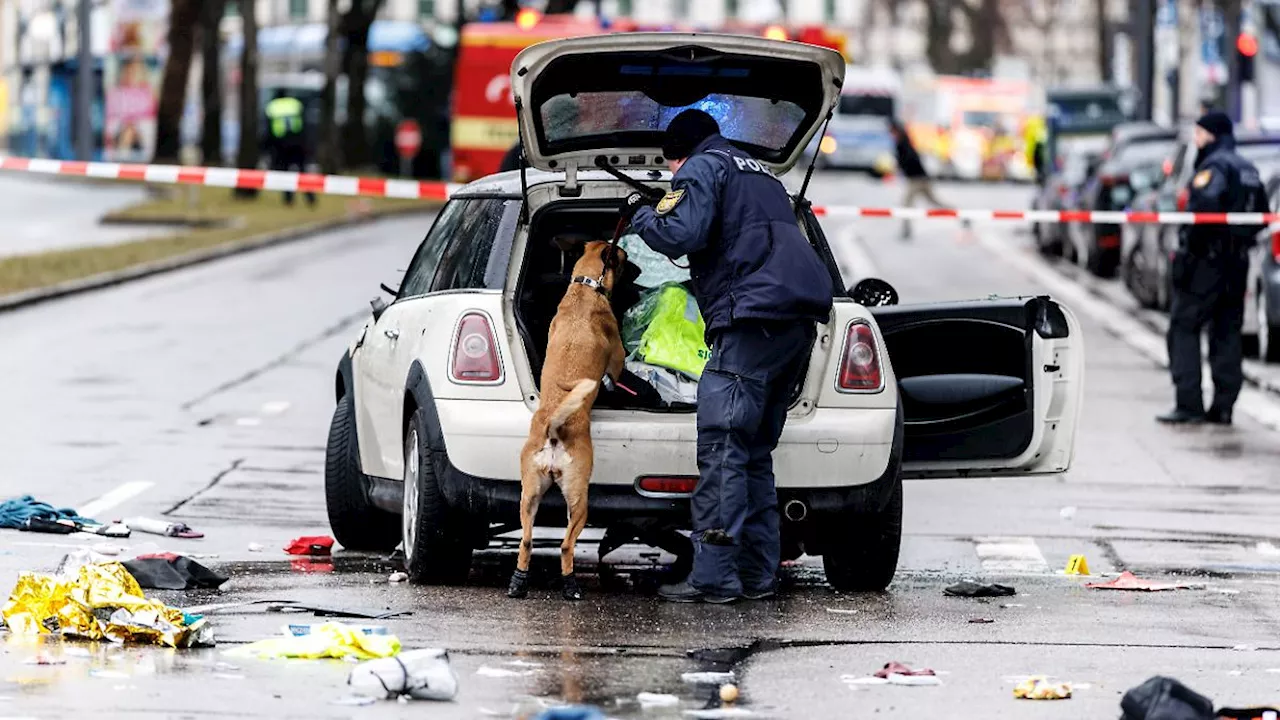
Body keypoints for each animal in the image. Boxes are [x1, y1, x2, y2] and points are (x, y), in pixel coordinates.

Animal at [509, 238, 629, 597]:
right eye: (623, 257)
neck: (585, 288)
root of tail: (553, 427)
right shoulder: (617, 358)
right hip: (579, 500)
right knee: (565, 545)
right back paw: (570, 586)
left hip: (529, 496)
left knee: (526, 541)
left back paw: (518, 582)